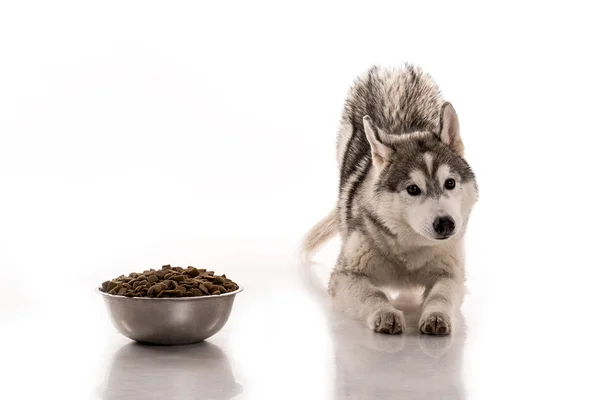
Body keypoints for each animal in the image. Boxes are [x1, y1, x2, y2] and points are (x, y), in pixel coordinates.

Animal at [302, 65, 480, 334]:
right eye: (413, 189)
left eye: (450, 183)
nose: (446, 224)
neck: (410, 250)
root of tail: (392, 69)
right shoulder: (345, 275)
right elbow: (372, 294)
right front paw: (385, 313)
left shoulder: (451, 273)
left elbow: (441, 295)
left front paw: (436, 315)